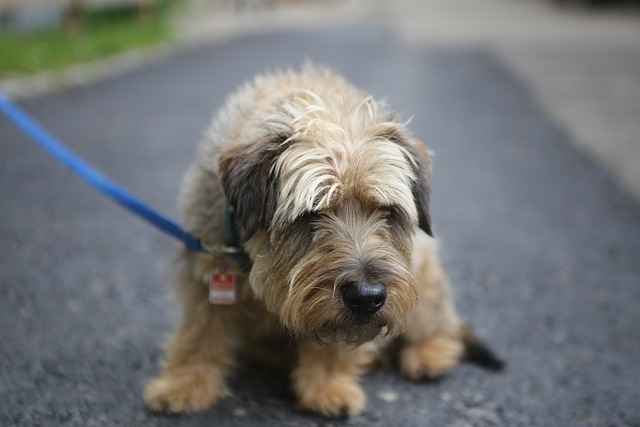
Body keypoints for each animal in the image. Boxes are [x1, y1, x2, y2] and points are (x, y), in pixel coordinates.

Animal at [142, 64, 502, 418]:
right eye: (310, 214)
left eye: (387, 212)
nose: (367, 297)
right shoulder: (203, 268)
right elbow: (199, 330)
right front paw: (184, 383)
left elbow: (334, 339)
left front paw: (328, 387)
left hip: (424, 282)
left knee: (444, 328)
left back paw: (428, 353)